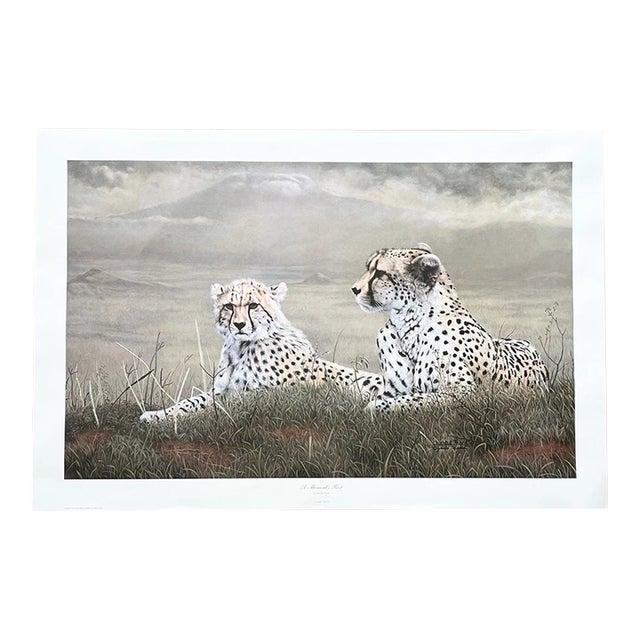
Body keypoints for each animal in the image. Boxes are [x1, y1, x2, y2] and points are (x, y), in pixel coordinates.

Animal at [140, 278, 383, 422]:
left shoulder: (255, 400)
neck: (240, 348)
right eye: (229, 306)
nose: (239, 325)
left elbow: (210, 411)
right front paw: (156, 414)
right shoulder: (222, 391)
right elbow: (190, 402)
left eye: (253, 305)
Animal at [351, 243, 549, 411]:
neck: (409, 323)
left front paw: (372, 408)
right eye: (369, 269)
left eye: (379, 273)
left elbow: (416, 400)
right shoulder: (392, 390)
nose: (354, 289)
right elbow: (401, 397)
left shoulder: (465, 393)